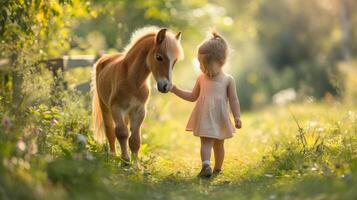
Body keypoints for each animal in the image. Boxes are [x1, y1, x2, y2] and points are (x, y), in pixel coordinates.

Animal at [92, 27, 182, 166]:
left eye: (174, 61)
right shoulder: (116, 108)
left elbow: (135, 139)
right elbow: (121, 133)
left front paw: (135, 165)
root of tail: (104, 59)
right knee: (110, 131)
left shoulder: (139, 111)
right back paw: (112, 155)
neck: (133, 81)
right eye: (159, 57)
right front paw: (125, 159)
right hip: (105, 107)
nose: (166, 87)